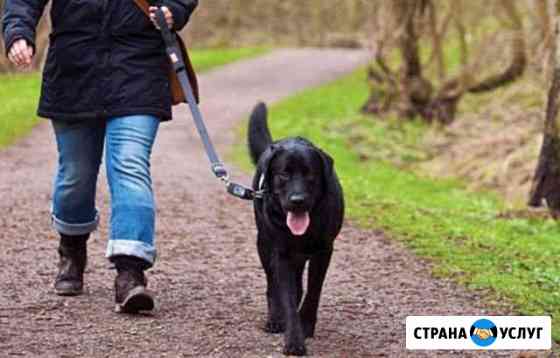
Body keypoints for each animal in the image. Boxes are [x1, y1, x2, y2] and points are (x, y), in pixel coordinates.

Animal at [247, 103, 344, 356]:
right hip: (263, 244)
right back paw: (275, 319)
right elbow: (287, 297)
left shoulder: (324, 251)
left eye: (310, 174)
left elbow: (313, 291)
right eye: (284, 174)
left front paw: (306, 325)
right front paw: (293, 340)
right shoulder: (281, 253)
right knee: (273, 285)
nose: (297, 200)